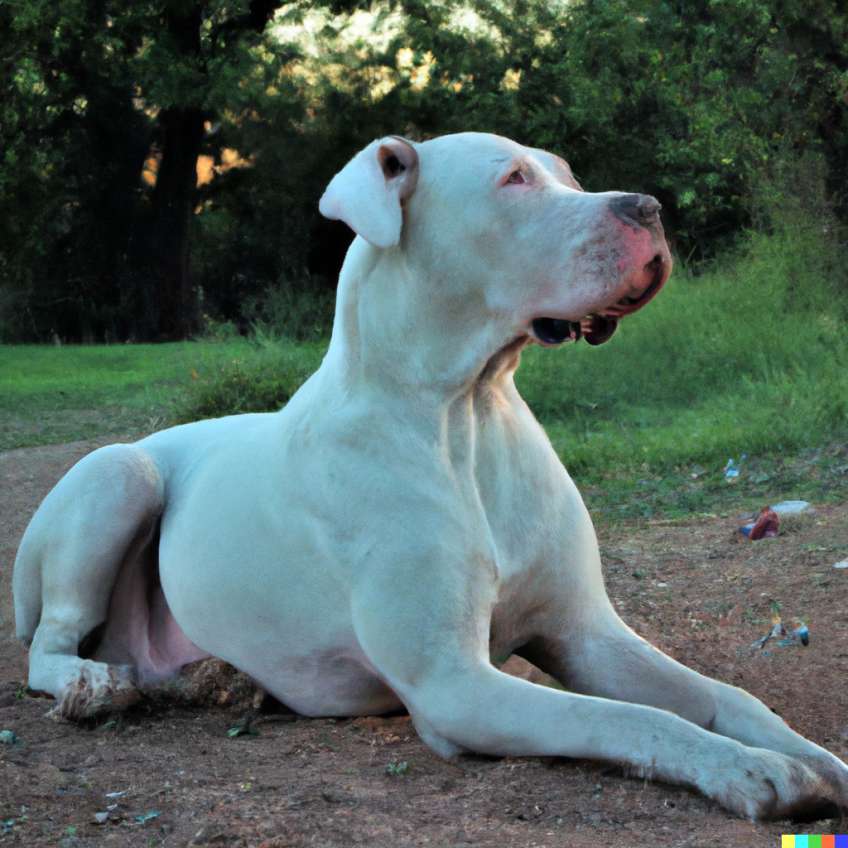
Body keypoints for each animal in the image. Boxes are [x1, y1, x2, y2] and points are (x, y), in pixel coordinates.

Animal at [13, 134, 848, 820]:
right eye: (515, 179)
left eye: (570, 174)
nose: (649, 206)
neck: (466, 412)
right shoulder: (455, 686)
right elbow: (627, 718)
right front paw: (747, 772)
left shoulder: (585, 633)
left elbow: (721, 695)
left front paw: (810, 756)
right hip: (117, 474)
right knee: (48, 646)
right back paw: (94, 685)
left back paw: (207, 677)